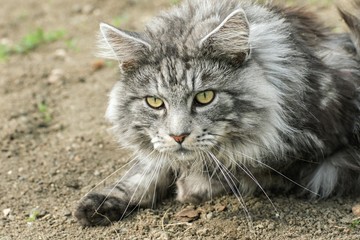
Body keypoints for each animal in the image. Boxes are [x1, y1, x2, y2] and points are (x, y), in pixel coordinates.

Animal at [74, 0, 360, 226]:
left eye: (204, 97)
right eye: (154, 102)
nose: (178, 136)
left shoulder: (316, 155)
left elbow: (245, 170)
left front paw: (191, 186)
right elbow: (147, 169)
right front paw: (103, 202)